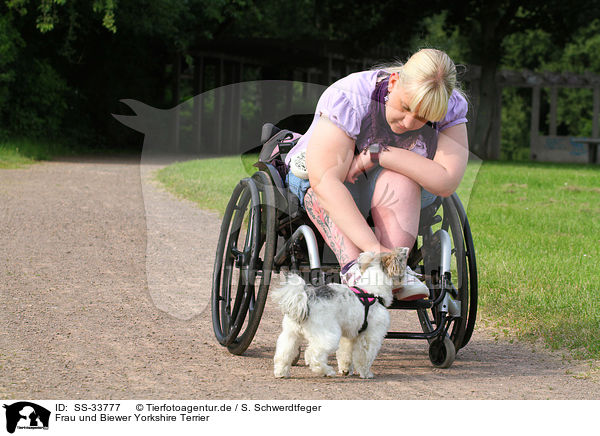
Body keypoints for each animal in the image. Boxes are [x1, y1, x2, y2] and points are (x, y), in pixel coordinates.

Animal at [270, 249, 408, 378]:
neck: (373, 292)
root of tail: (306, 298)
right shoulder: (370, 337)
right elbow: (364, 358)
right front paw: (366, 373)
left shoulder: (349, 336)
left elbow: (345, 354)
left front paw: (346, 370)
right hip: (328, 336)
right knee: (313, 355)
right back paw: (327, 371)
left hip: (291, 335)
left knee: (283, 354)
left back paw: (281, 373)